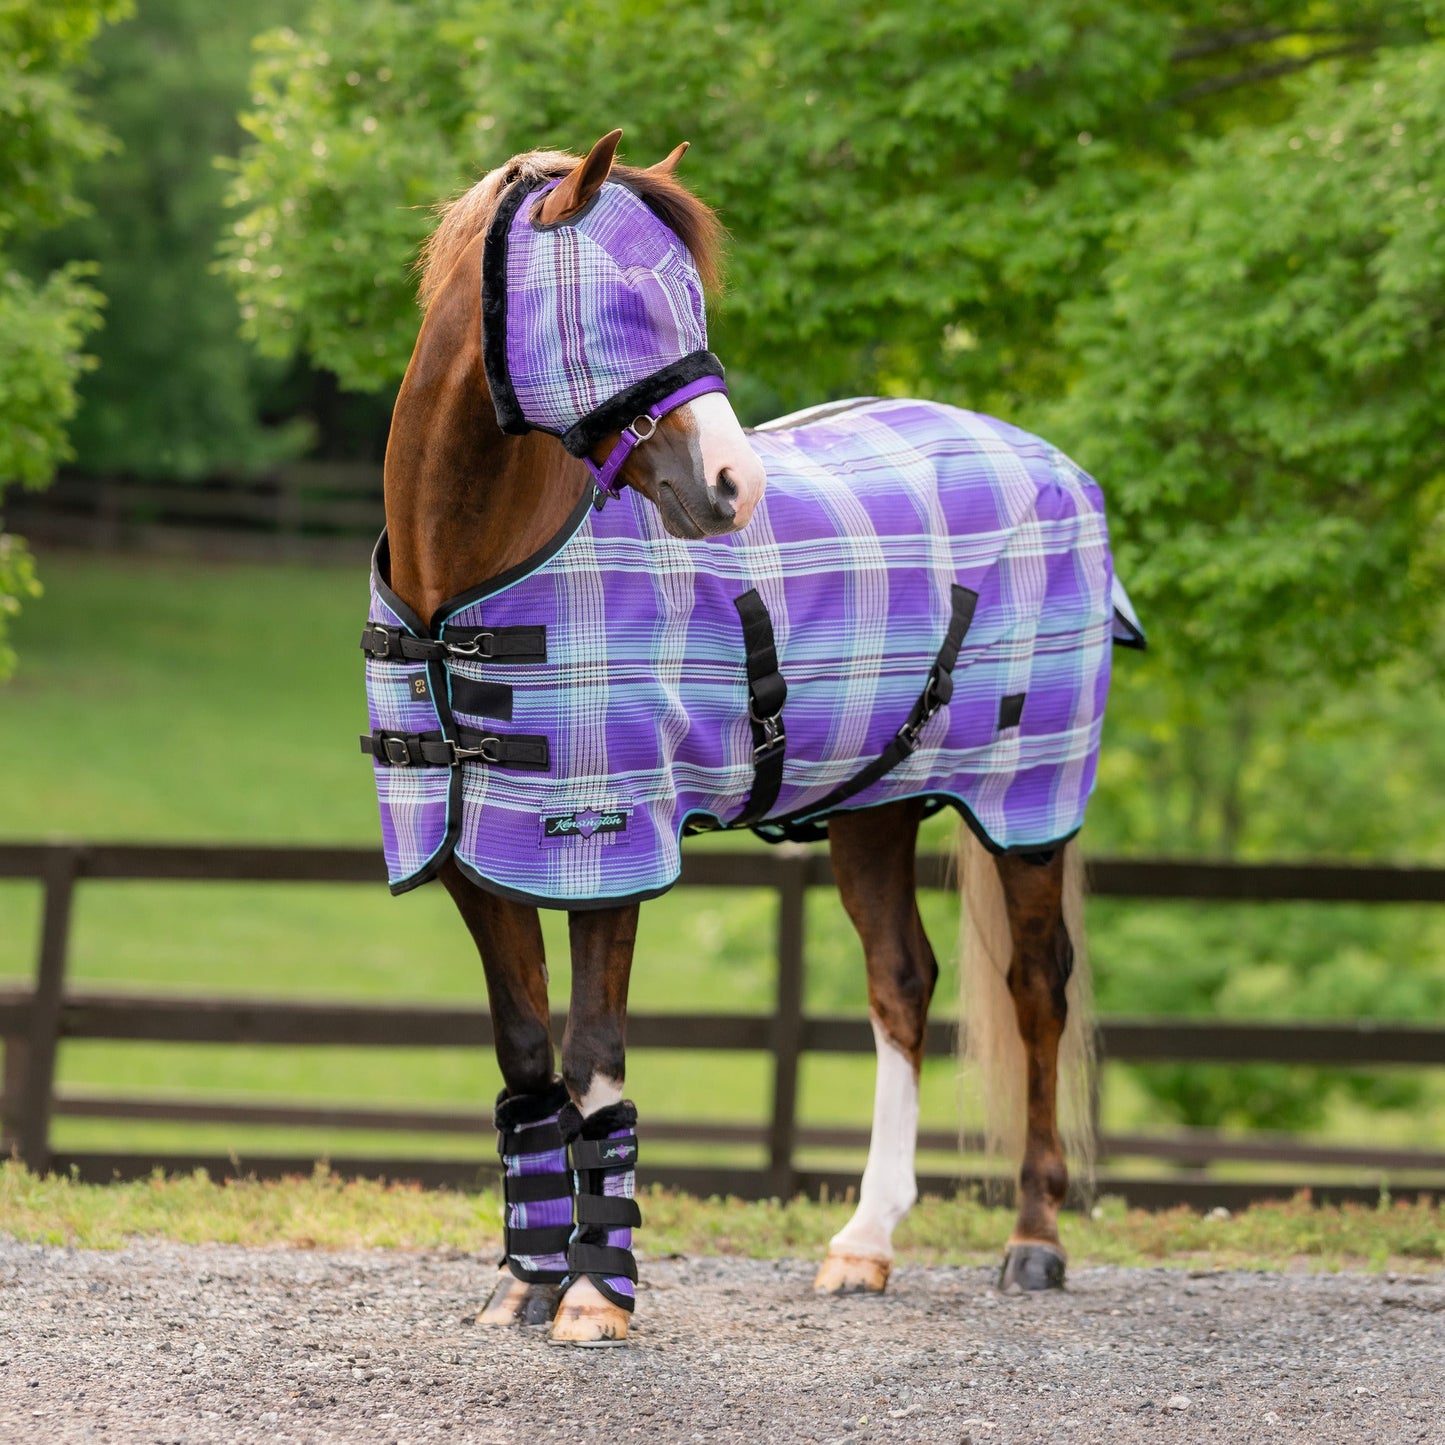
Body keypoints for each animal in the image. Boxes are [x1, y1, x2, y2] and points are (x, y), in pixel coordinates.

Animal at [365, 129, 1140, 1346]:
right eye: (616, 312)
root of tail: (1061, 468)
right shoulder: (471, 856)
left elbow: (593, 1057)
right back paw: (863, 1243)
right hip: (873, 807)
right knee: (901, 982)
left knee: (1034, 990)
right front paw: (523, 1282)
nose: (733, 485)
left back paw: (1033, 1240)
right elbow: (529, 1059)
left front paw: (595, 1294)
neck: (470, 585)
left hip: (1027, 802)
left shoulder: (609, 842)